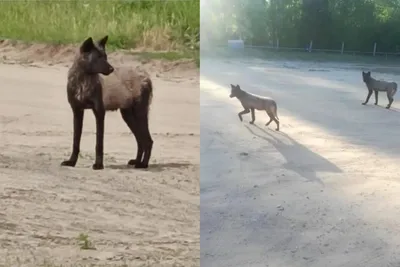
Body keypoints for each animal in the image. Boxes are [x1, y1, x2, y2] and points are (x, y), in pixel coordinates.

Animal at [61, 35, 154, 171]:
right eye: (98, 57)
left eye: (105, 56)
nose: (111, 69)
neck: (83, 81)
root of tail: (146, 76)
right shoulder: (77, 111)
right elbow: (76, 141)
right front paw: (71, 162)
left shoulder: (99, 113)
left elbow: (99, 143)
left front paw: (99, 165)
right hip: (128, 115)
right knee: (140, 140)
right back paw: (137, 161)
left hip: (140, 113)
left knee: (148, 141)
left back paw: (143, 164)